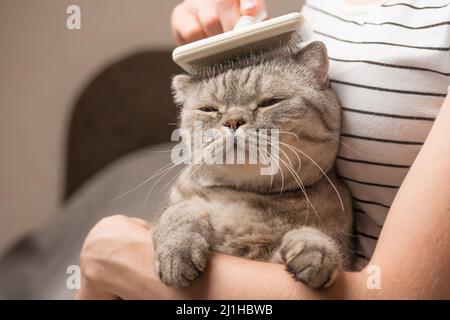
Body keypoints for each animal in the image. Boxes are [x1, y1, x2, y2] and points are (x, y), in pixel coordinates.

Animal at [153, 41, 354, 288]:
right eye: (208, 109)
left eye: (270, 102)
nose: (232, 121)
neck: (244, 198)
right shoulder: (170, 207)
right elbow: (179, 211)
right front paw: (177, 251)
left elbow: (317, 242)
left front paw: (314, 247)